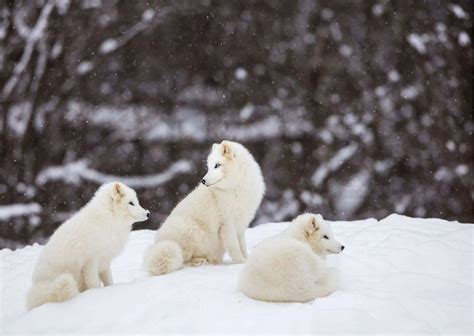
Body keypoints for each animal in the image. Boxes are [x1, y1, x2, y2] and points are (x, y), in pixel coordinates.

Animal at [144, 140, 264, 274]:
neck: (236, 187)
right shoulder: (227, 225)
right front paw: (241, 263)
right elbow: (235, 248)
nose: (203, 181)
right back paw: (199, 261)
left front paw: (247, 260)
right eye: (209, 166)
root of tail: (157, 244)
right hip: (190, 231)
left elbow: (242, 247)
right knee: (182, 261)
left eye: (217, 165)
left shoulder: (241, 225)